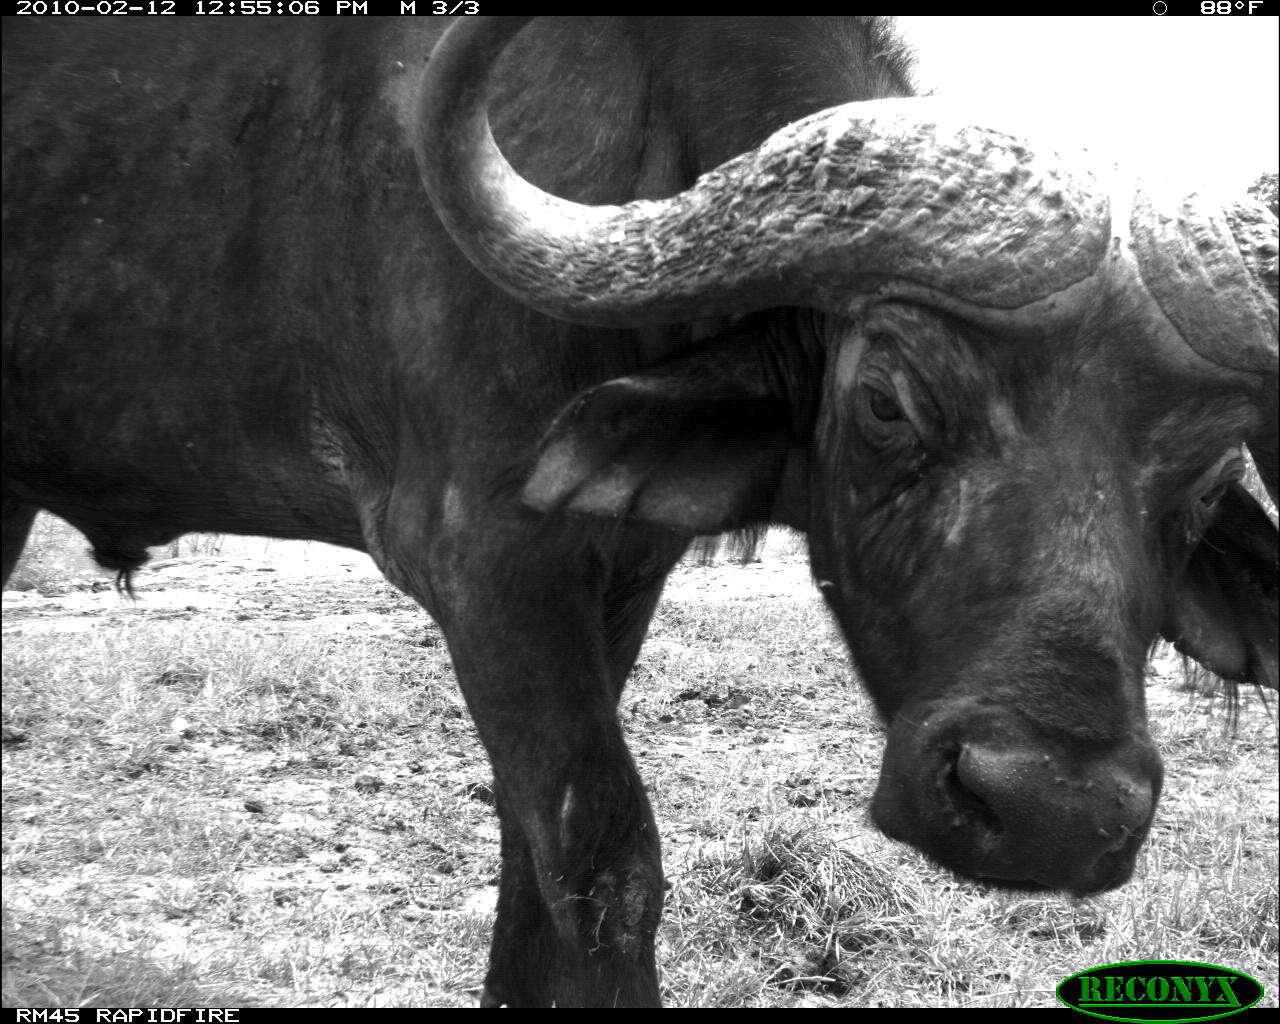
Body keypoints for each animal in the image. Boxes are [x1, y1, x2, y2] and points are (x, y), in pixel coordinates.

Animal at [5, 14, 1274, 1008]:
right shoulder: (484, 565)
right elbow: (603, 861)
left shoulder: (621, 569)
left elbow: (532, 862)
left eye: (1210, 476)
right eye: (884, 399)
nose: (1053, 809)